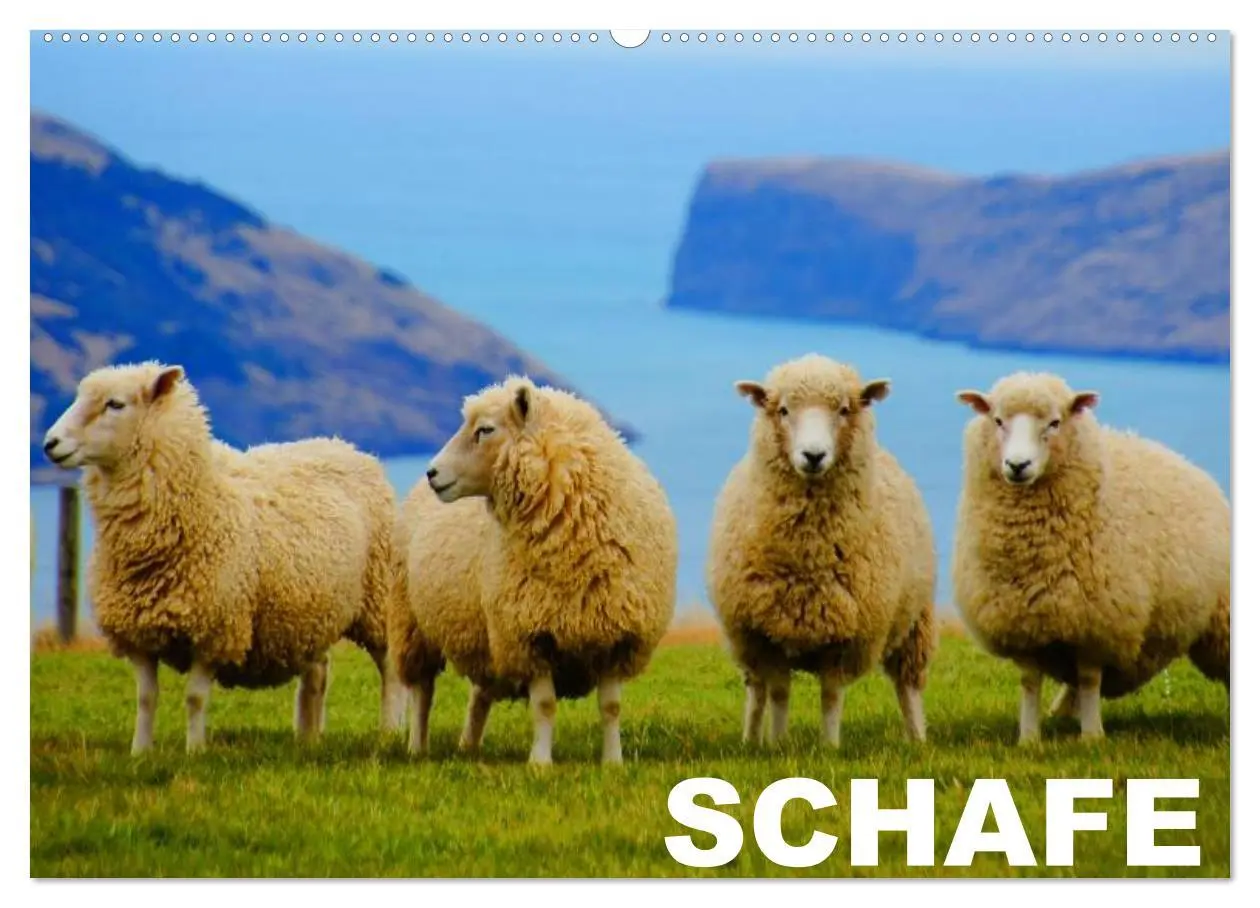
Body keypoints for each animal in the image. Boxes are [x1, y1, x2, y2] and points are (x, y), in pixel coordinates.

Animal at [42, 361, 405, 753]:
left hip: (378, 599)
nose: (50, 444)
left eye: (115, 404)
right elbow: (146, 698)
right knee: (317, 672)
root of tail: (346, 446)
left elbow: (195, 698)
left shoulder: (215, 629)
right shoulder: (137, 634)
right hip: (311, 610)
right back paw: (307, 737)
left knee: (389, 669)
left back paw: (389, 731)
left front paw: (194, 751)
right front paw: (140, 752)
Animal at [391, 375, 678, 765]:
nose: (432, 472)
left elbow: (611, 707)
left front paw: (613, 762)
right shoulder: (531, 633)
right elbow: (544, 705)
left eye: (485, 430)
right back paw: (418, 748)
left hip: (484, 633)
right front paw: (540, 762)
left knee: (480, 693)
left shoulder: (615, 634)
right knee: (423, 691)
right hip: (415, 624)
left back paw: (469, 746)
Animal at [708, 353, 938, 748]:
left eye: (844, 409)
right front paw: (777, 744)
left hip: (915, 621)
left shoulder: (847, 636)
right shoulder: (766, 634)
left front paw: (829, 746)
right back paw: (751, 739)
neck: (808, 554)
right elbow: (779, 692)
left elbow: (831, 696)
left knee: (908, 686)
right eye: (783, 410)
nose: (813, 455)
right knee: (756, 691)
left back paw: (917, 739)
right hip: (745, 643)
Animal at [953, 371, 1230, 743]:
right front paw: (1029, 738)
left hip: (1221, 617)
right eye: (997, 420)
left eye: (1055, 422)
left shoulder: (1098, 621)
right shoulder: (1022, 621)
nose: (1017, 465)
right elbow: (1030, 682)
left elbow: (1088, 679)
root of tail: (1190, 465)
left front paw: (1092, 737)